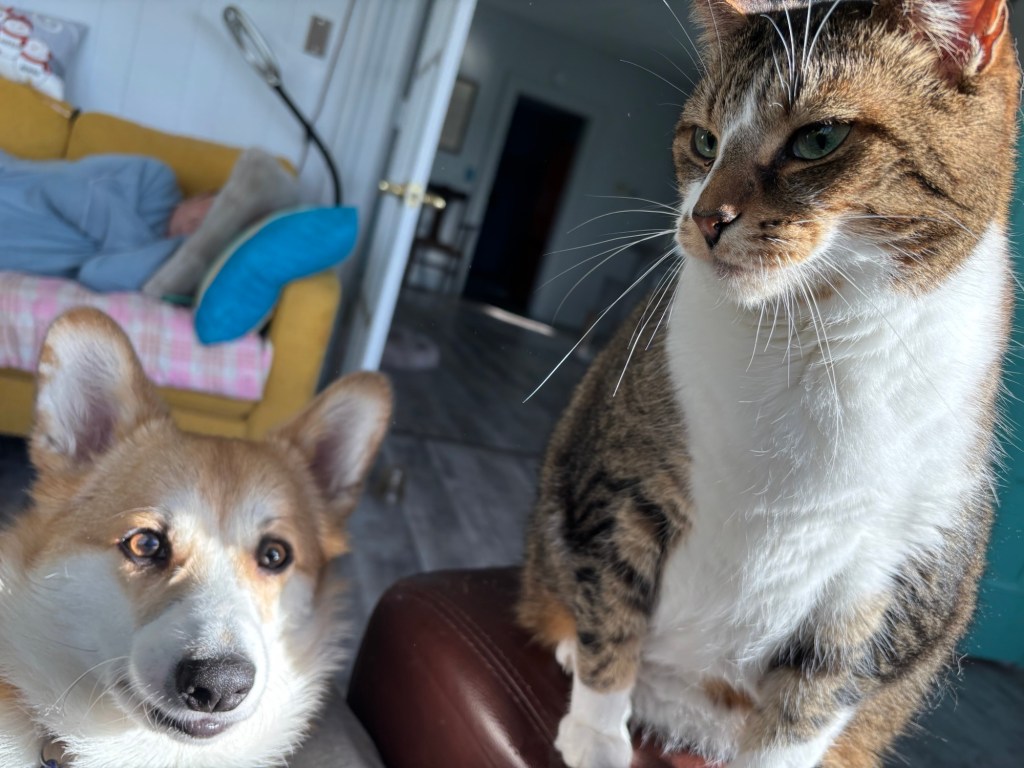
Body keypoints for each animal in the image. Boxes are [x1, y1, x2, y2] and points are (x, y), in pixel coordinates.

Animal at [517, 1, 1020, 767]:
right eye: (704, 141)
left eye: (819, 138)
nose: (702, 219)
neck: (807, 339)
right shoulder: (619, 482)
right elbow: (612, 611)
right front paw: (598, 735)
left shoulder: (889, 578)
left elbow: (809, 706)